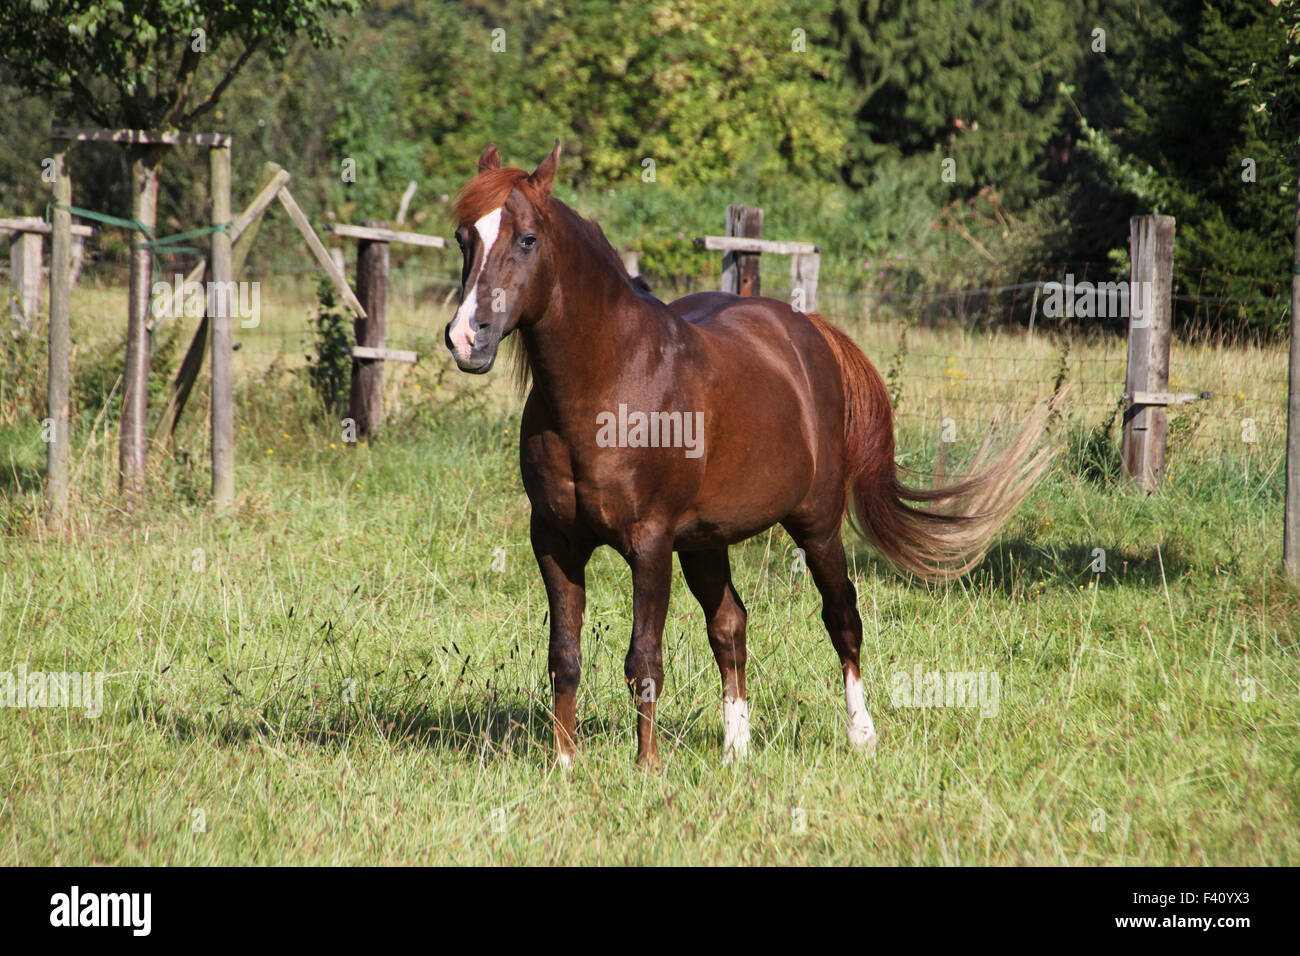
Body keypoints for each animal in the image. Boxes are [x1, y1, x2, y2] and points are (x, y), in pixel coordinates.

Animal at [444, 142, 1059, 769]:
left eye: (527, 239)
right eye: (464, 237)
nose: (469, 337)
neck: (611, 383)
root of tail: (807, 329)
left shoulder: (650, 543)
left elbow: (644, 659)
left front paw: (646, 769)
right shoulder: (555, 541)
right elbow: (564, 656)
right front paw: (565, 766)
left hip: (816, 524)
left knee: (842, 616)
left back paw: (861, 734)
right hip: (704, 542)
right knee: (729, 624)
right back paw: (736, 748)